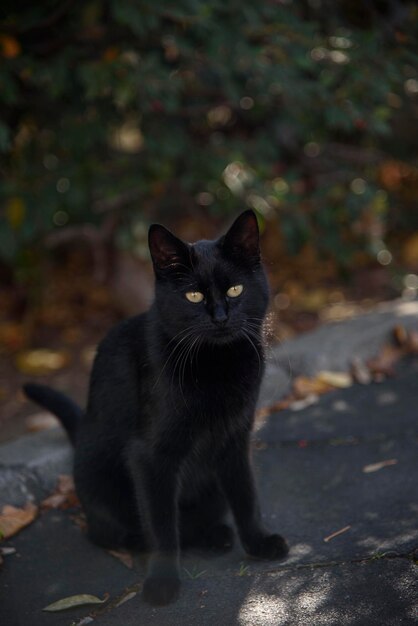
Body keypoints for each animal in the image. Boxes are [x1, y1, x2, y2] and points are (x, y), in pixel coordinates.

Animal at [24, 210, 290, 604]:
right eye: (193, 295)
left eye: (235, 290)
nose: (220, 317)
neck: (216, 365)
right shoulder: (150, 456)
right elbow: (163, 525)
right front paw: (163, 581)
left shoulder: (235, 438)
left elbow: (246, 495)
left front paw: (257, 542)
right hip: (101, 482)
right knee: (111, 532)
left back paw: (216, 534)